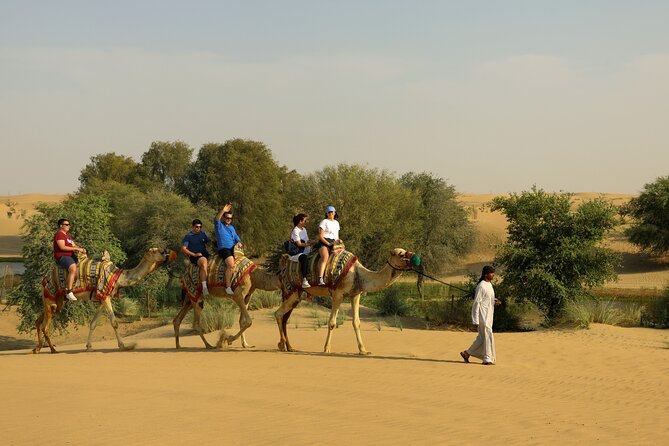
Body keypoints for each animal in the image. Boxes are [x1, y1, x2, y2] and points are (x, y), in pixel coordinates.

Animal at [33, 247, 175, 356]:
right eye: (156, 250)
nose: (168, 251)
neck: (119, 278)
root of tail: (44, 279)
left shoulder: (101, 298)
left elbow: (93, 323)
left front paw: (89, 347)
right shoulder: (105, 295)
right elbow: (114, 322)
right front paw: (124, 346)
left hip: (57, 301)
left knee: (39, 321)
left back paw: (37, 349)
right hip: (51, 298)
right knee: (45, 325)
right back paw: (53, 350)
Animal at [274, 247, 414, 356]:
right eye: (401, 254)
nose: (413, 255)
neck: (358, 274)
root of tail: (283, 267)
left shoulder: (355, 295)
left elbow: (356, 322)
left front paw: (363, 350)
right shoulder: (338, 294)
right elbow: (332, 322)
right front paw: (327, 348)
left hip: (295, 294)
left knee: (284, 318)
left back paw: (290, 347)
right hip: (291, 290)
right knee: (278, 314)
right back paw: (281, 344)